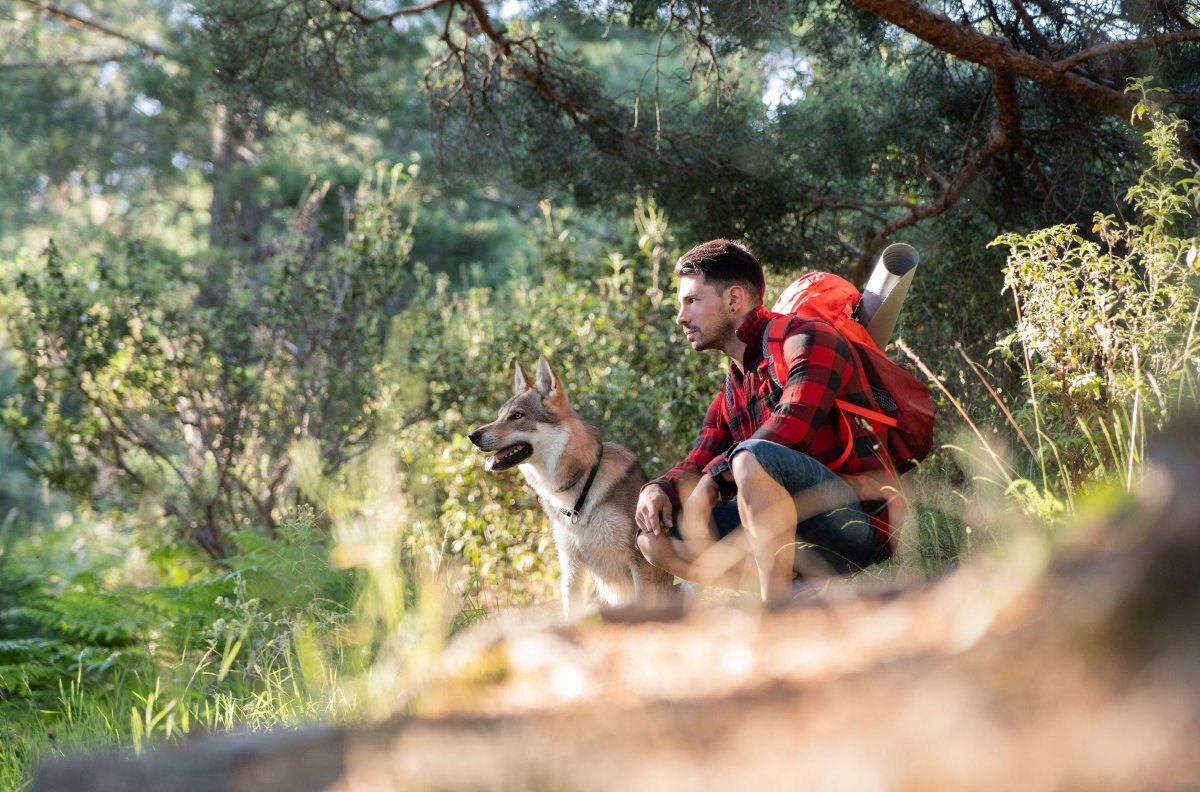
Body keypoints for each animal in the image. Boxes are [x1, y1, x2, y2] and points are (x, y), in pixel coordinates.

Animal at [468, 355, 676, 624]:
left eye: (517, 415)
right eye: (499, 415)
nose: (472, 435)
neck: (577, 493)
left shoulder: (640, 562)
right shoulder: (572, 568)